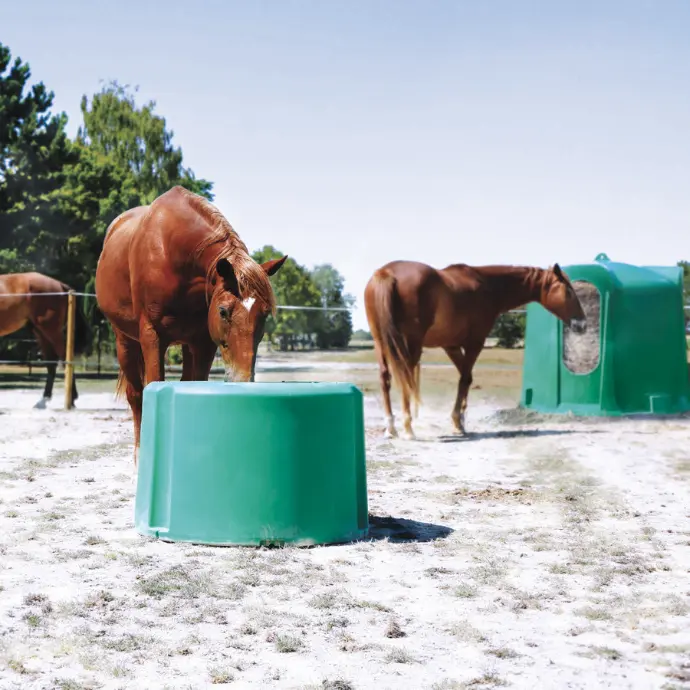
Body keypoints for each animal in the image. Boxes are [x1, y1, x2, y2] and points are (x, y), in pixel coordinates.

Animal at [0, 272, 90, 406]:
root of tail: (59, 284)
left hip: (51, 332)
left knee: (64, 358)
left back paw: (72, 398)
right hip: (41, 334)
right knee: (51, 363)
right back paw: (46, 397)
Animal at [94, 185, 284, 464]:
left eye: (265, 314)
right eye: (223, 311)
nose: (242, 379)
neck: (172, 253)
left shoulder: (203, 343)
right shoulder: (152, 337)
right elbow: (152, 386)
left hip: (185, 343)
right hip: (125, 341)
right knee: (135, 395)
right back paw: (139, 454)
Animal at [362, 260, 584, 438]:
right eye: (568, 291)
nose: (582, 323)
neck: (487, 286)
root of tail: (386, 273)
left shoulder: (451, 346)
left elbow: (466, 377)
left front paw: (460, 420)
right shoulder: (475, 343)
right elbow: (464, 379)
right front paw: (457, 422)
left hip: (381, 342)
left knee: (385, 377)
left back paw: (391, 427)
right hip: (411, 344)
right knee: (405, 376)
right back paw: (408, 428)